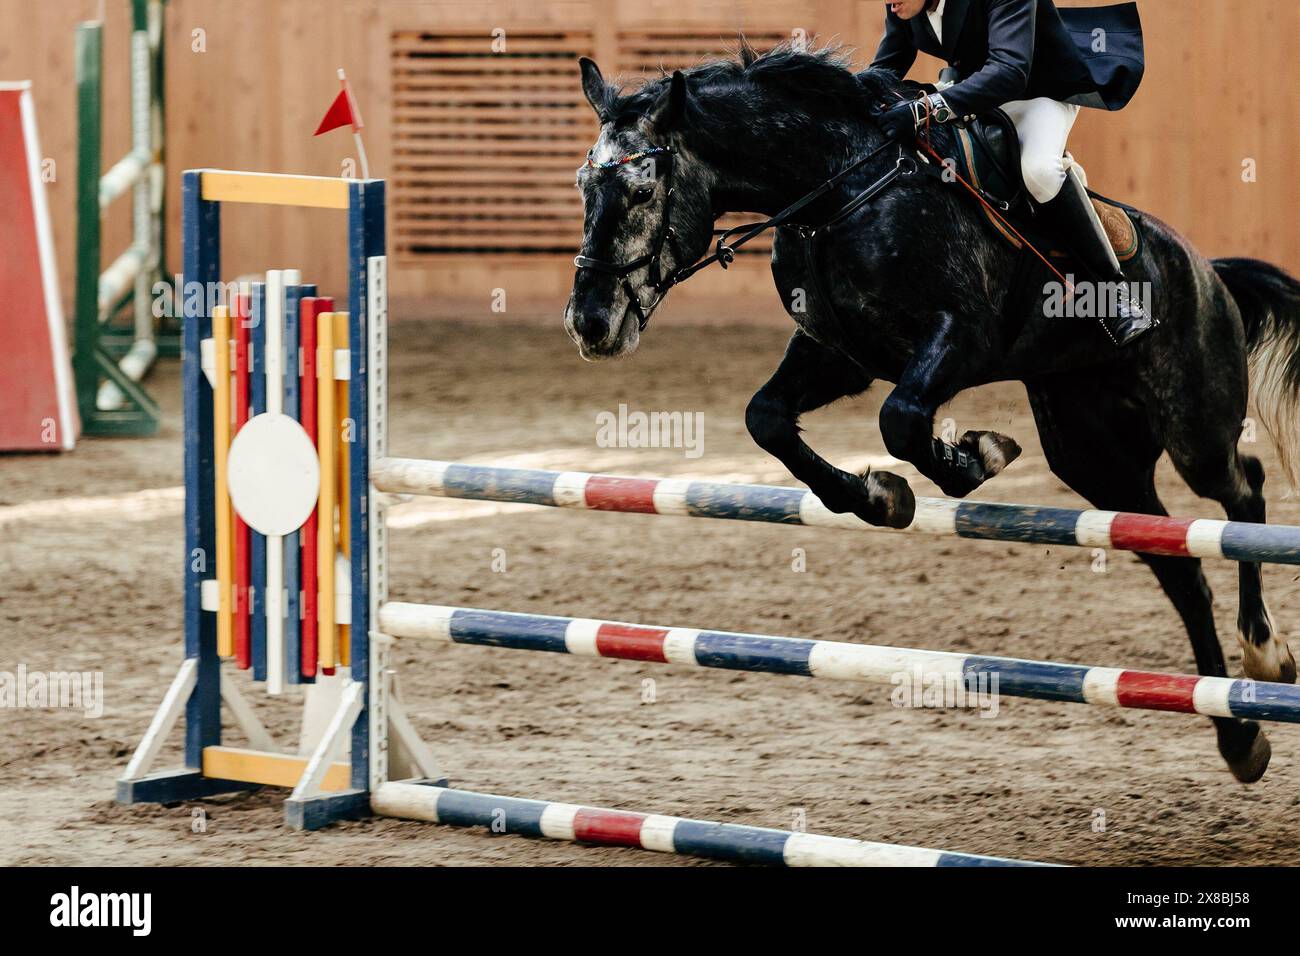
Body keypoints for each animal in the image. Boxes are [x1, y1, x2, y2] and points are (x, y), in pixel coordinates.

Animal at [561, 39, 1300, 785]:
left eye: (642, 191)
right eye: (583, 186)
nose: (591, 324)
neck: (837, 192)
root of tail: (1208, 269)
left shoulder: (960, 337)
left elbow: (902, 420)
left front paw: (972, 457)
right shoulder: (841, 354)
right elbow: (766, 418)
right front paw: (880, 496)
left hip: (1192, 425)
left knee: (1242, 491)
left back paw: (1265, 653)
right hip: (1094, 453)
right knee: (1180, 566)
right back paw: (1239, 738)